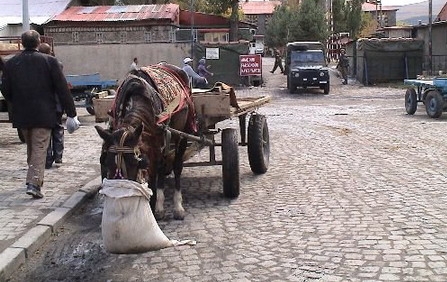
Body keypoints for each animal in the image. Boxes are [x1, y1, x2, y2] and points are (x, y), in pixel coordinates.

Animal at [96, 64, 196, 220]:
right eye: (106, 162)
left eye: (136, 163)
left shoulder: (154, 148)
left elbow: (154, 174)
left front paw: (153, 208)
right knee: (163, 165)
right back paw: (161, 206)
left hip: (182, 133)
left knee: (177, 165)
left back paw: (178, 206)